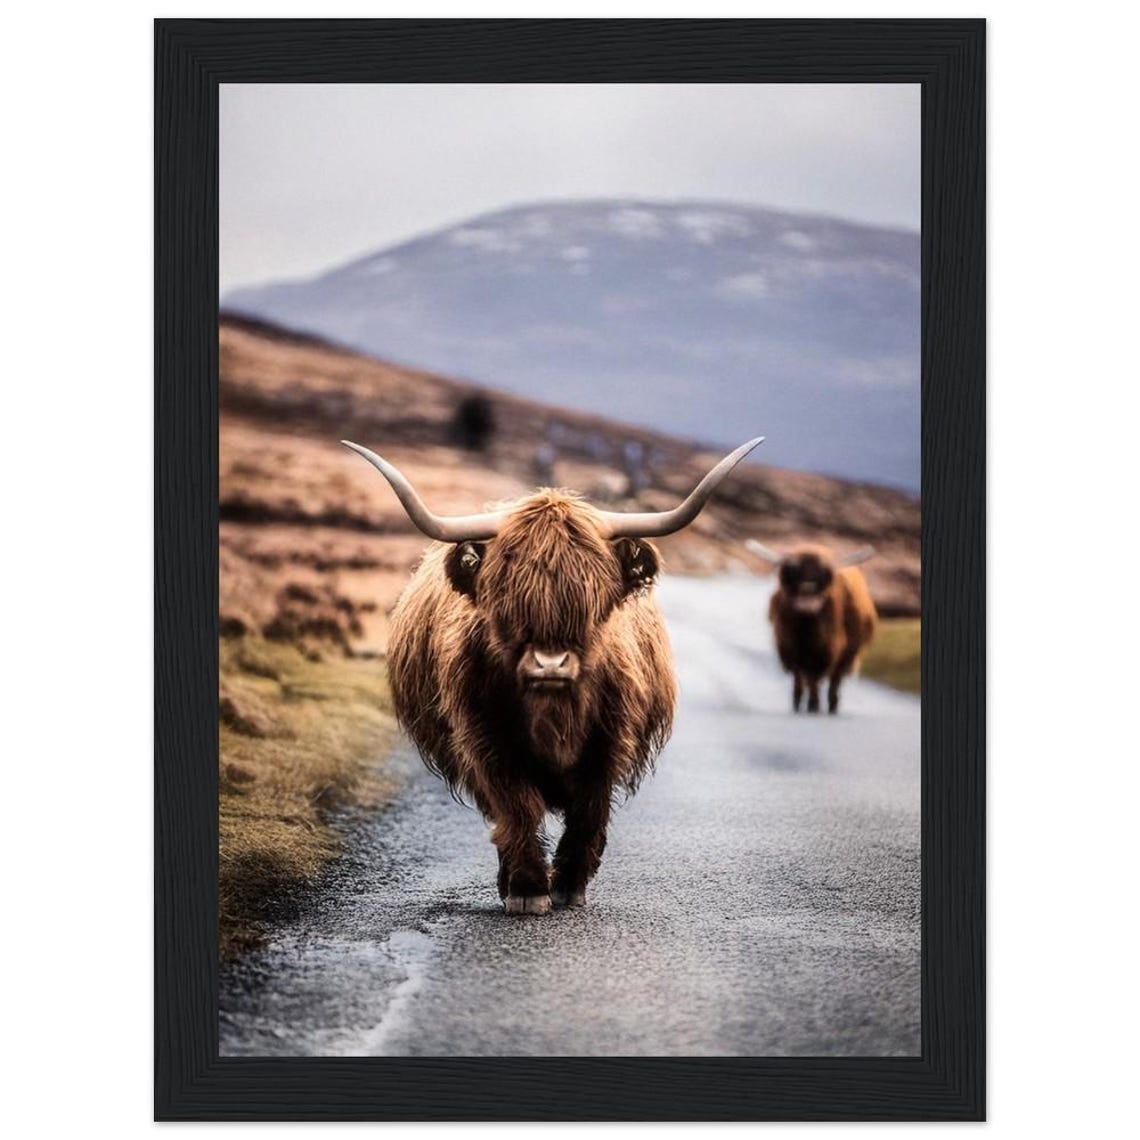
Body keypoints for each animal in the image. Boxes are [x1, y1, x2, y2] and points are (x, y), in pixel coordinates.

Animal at [344, 437, 763, 914]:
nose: (549, 665)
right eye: (505, 595)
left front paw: (569, 884)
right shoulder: (486, 741)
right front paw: (527, 888)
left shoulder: (608, 743)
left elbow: (589, 809)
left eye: (591, 596)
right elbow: (517, 805)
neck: (554, 710)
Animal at [745, 540, 877, 715]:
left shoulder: (827, 653)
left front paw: (813, 706)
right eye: (792, 572)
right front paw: (800, 704)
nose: (807, 598)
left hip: (847, 655)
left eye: (824, 574)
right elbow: (801, 679)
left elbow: (816, 679)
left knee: (834, 682)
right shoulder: (790, 651)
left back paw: (832, 706)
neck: (808, 635)